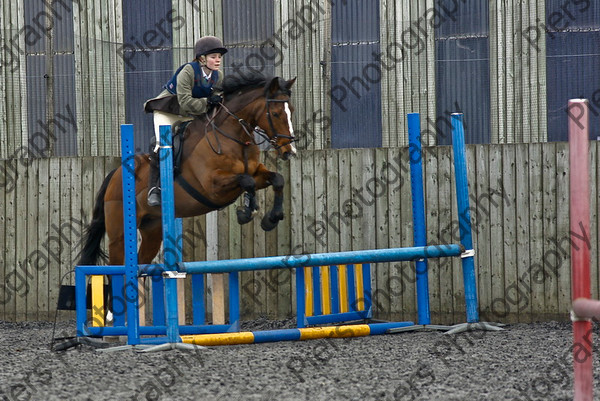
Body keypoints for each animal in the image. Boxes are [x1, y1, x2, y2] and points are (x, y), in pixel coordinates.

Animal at [77, 72, 298, 266]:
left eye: (292, 111)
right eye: (276, 114)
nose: (290, 151)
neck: (234, 137)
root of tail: (114, 175)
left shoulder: (256, 172)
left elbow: (276, 179)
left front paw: (270, 219)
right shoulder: (213, 187)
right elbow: (246, 181)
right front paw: (246, 212)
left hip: (152, 230)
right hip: (119, 233)